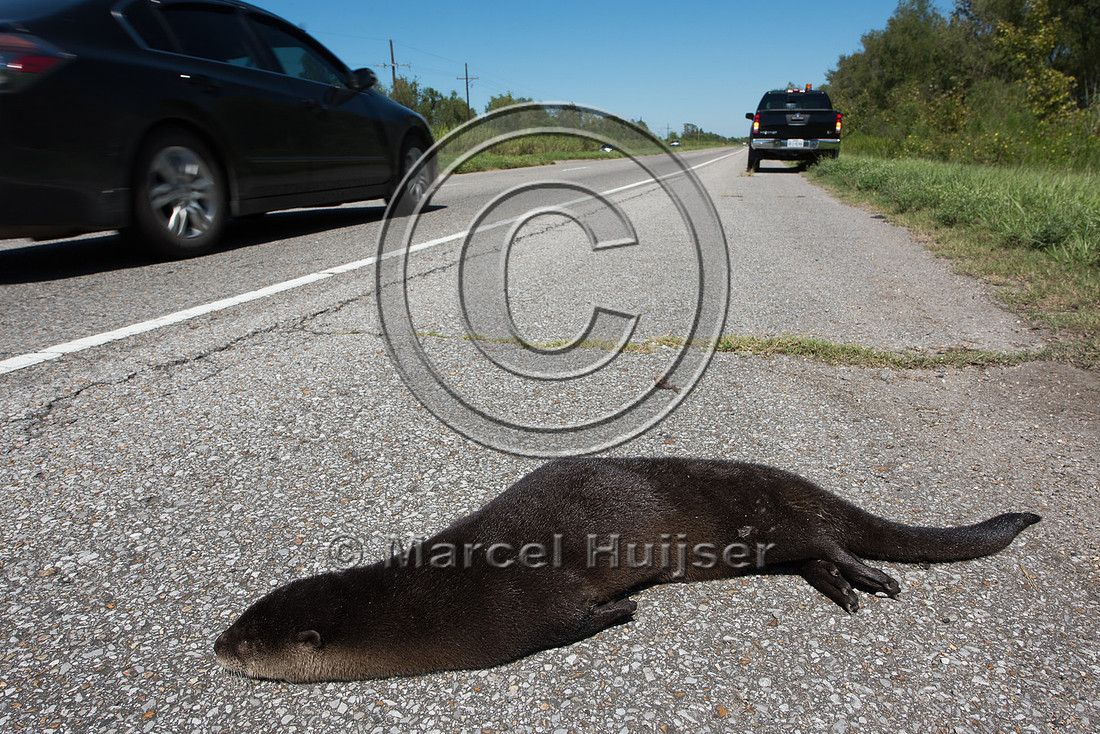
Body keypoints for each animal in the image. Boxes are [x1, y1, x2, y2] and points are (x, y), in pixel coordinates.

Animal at [214, 457, 1040, 683]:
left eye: (251, 641)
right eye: (240, 622)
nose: (217, 647)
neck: (424, 600)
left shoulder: (520, 612)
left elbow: (576, 620)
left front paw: (623, 611)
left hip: (752, 522)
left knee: (822, 538)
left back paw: (867, 578)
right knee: (815, 550)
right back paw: (845, 588)